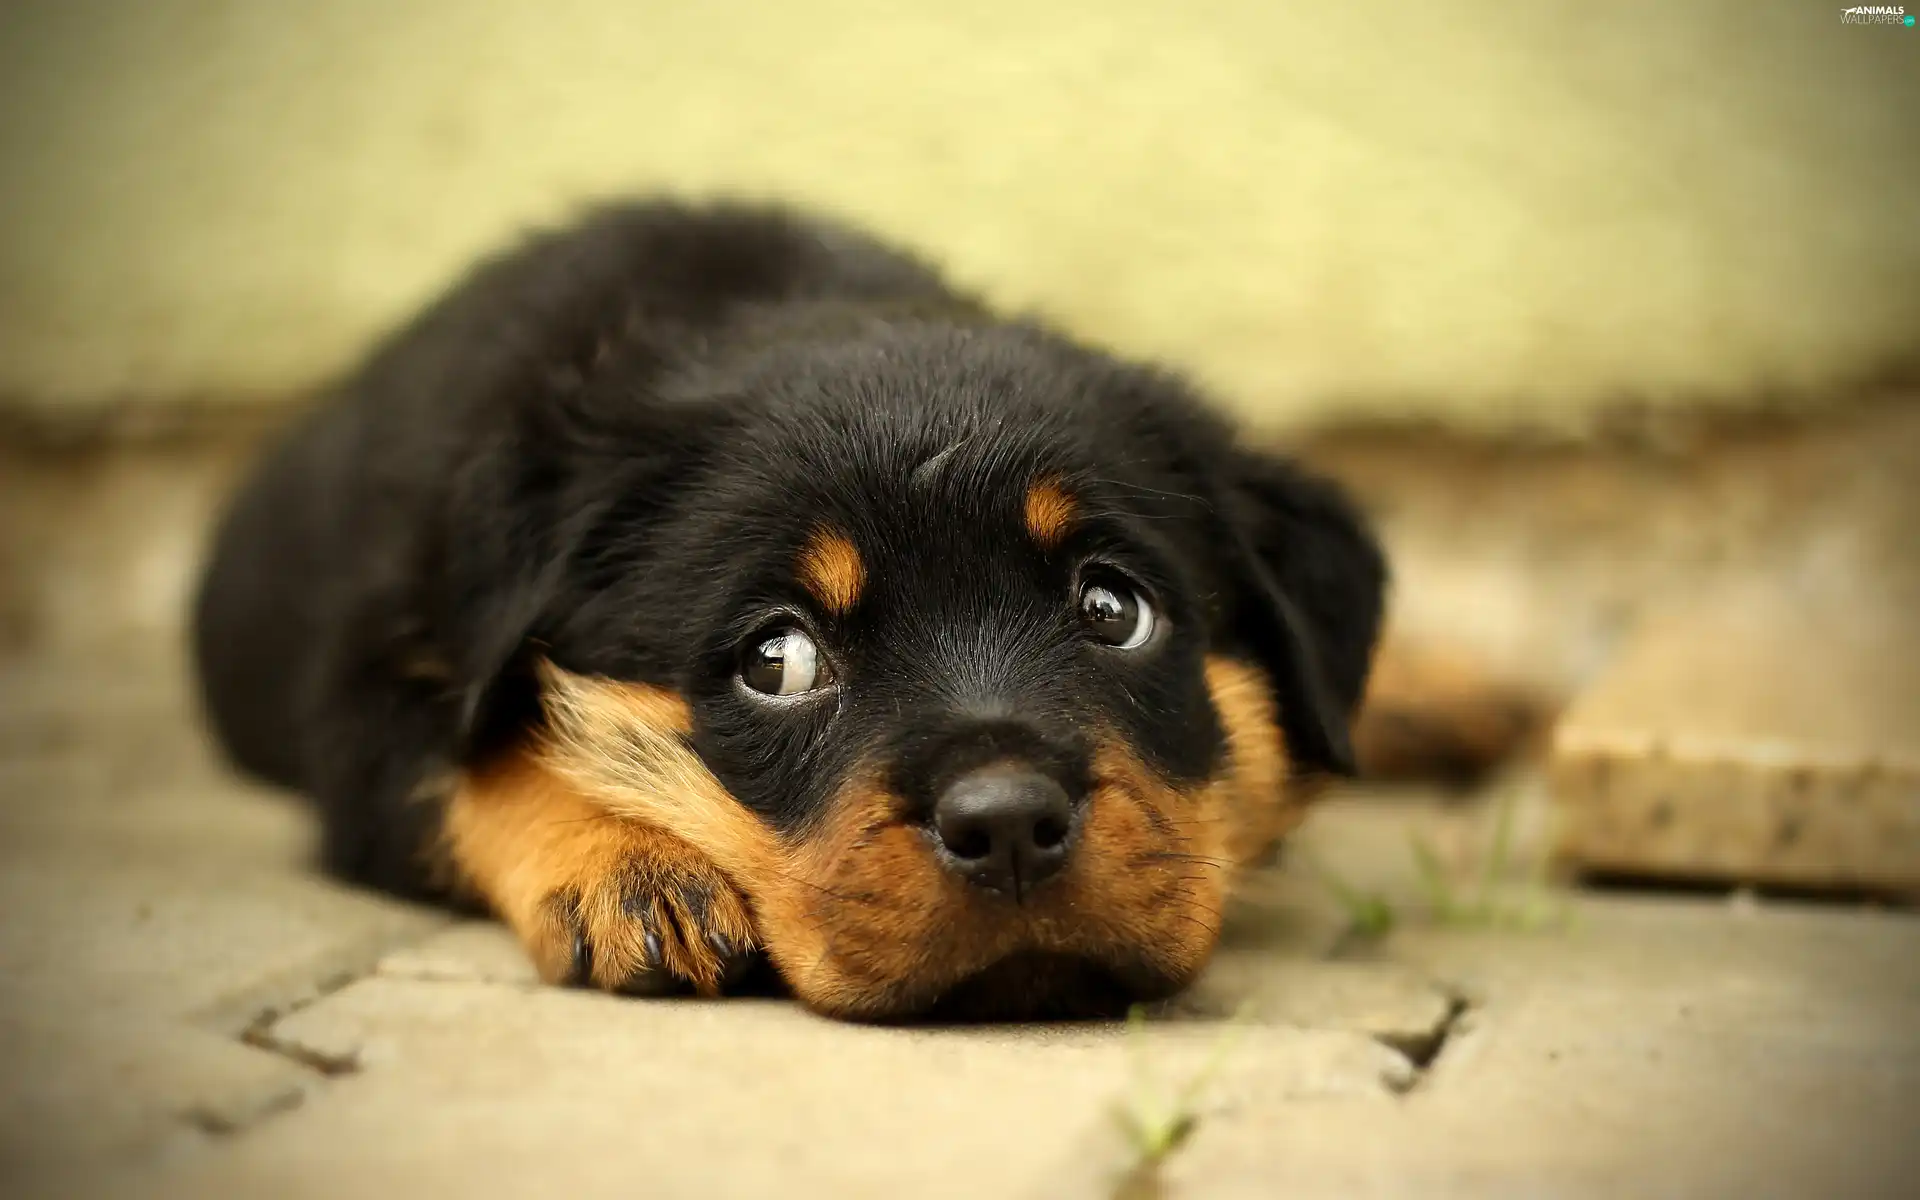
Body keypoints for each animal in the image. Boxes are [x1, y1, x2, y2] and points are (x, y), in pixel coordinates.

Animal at [194, 198, 1390, 1021]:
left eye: (1112, 609)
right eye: (778, 660)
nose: (1007, 824)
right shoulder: (377, 682)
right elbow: (477, 763)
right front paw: (625, 868)